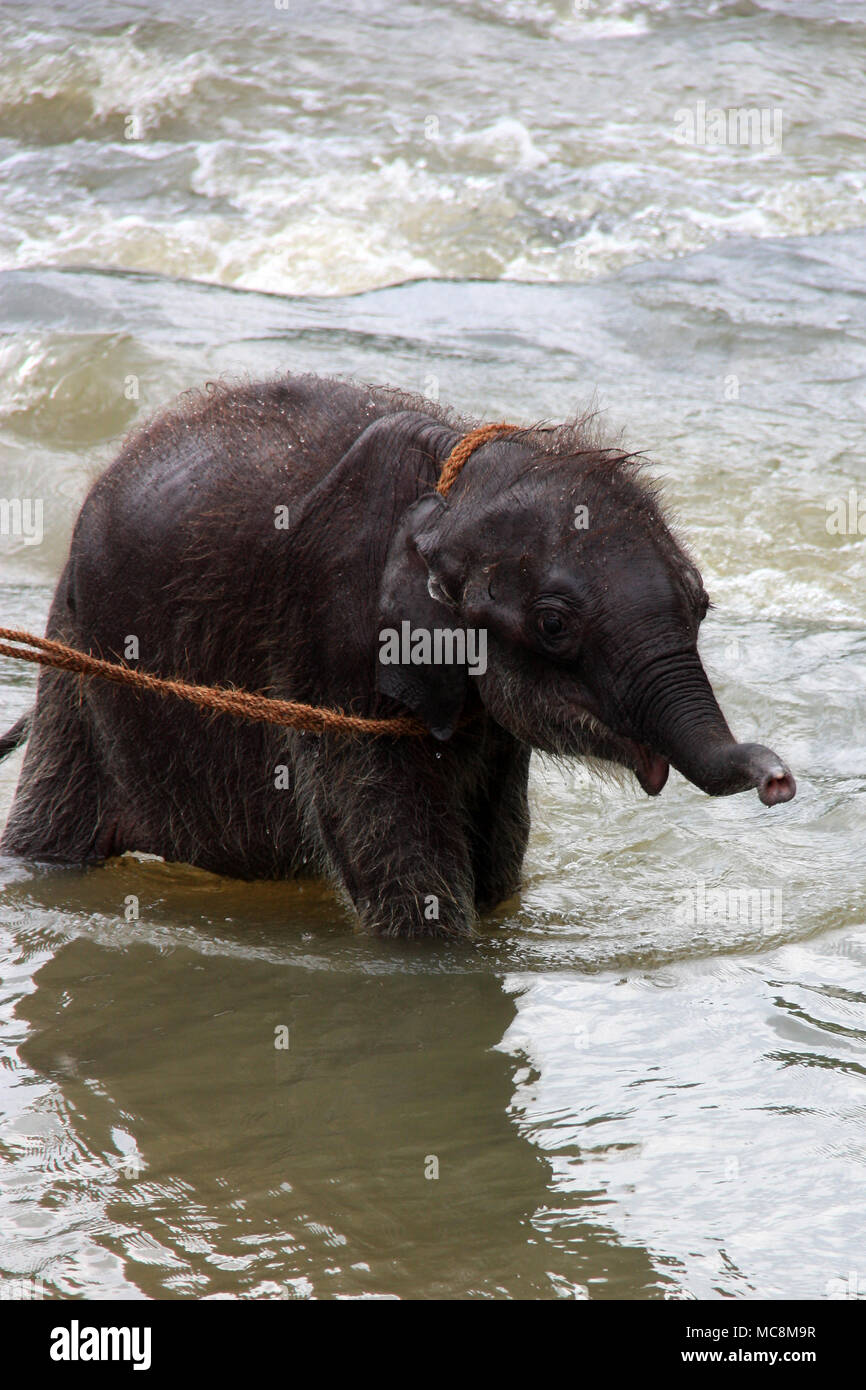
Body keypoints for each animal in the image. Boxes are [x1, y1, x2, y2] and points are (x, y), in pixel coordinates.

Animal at [1, 375, 800, 939]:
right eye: (552, 624)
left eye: (701, 606)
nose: (779, 783)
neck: (455, 480)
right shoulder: (336, 648)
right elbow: (396, 852)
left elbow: (498, 852)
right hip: (77, 656)